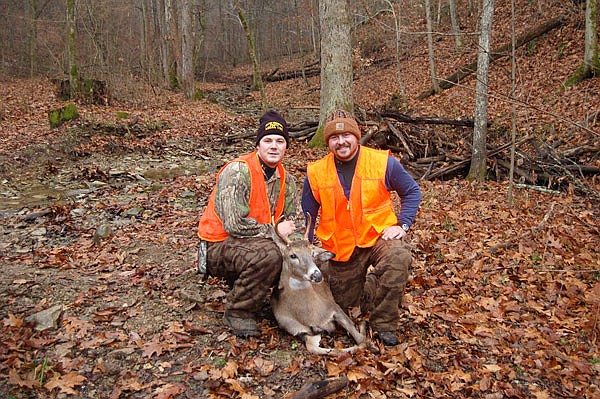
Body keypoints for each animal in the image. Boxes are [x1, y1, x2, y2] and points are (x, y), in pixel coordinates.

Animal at [270, 217, 366, 358]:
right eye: (293, 255)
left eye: (311, 253)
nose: (317, 275)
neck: (313, 315)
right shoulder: (302, 331)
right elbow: (314, 348)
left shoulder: (334, 307)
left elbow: (361, 339)